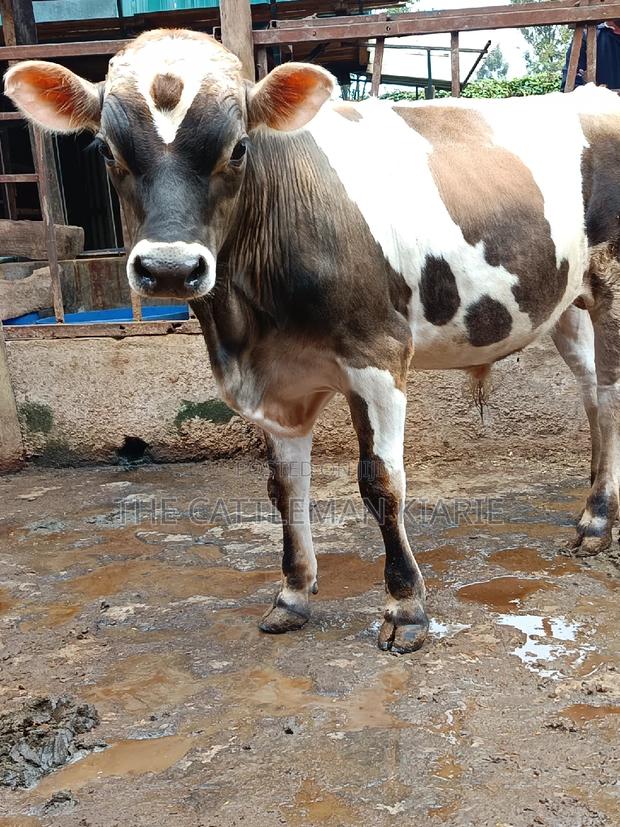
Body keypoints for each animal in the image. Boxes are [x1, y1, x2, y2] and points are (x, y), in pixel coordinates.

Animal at [6, 29, 620, 654]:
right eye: (107, 150)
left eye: (238, 149)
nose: (171, 269)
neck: (249, 326)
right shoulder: (274, 382)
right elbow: (285, 486)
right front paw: (293, 594)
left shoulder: (378, 357)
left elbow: (380, 482)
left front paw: (406, 607)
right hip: (564, 306)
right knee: (592, 394)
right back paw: (595, 507)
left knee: (611, 395)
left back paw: (597, 521)